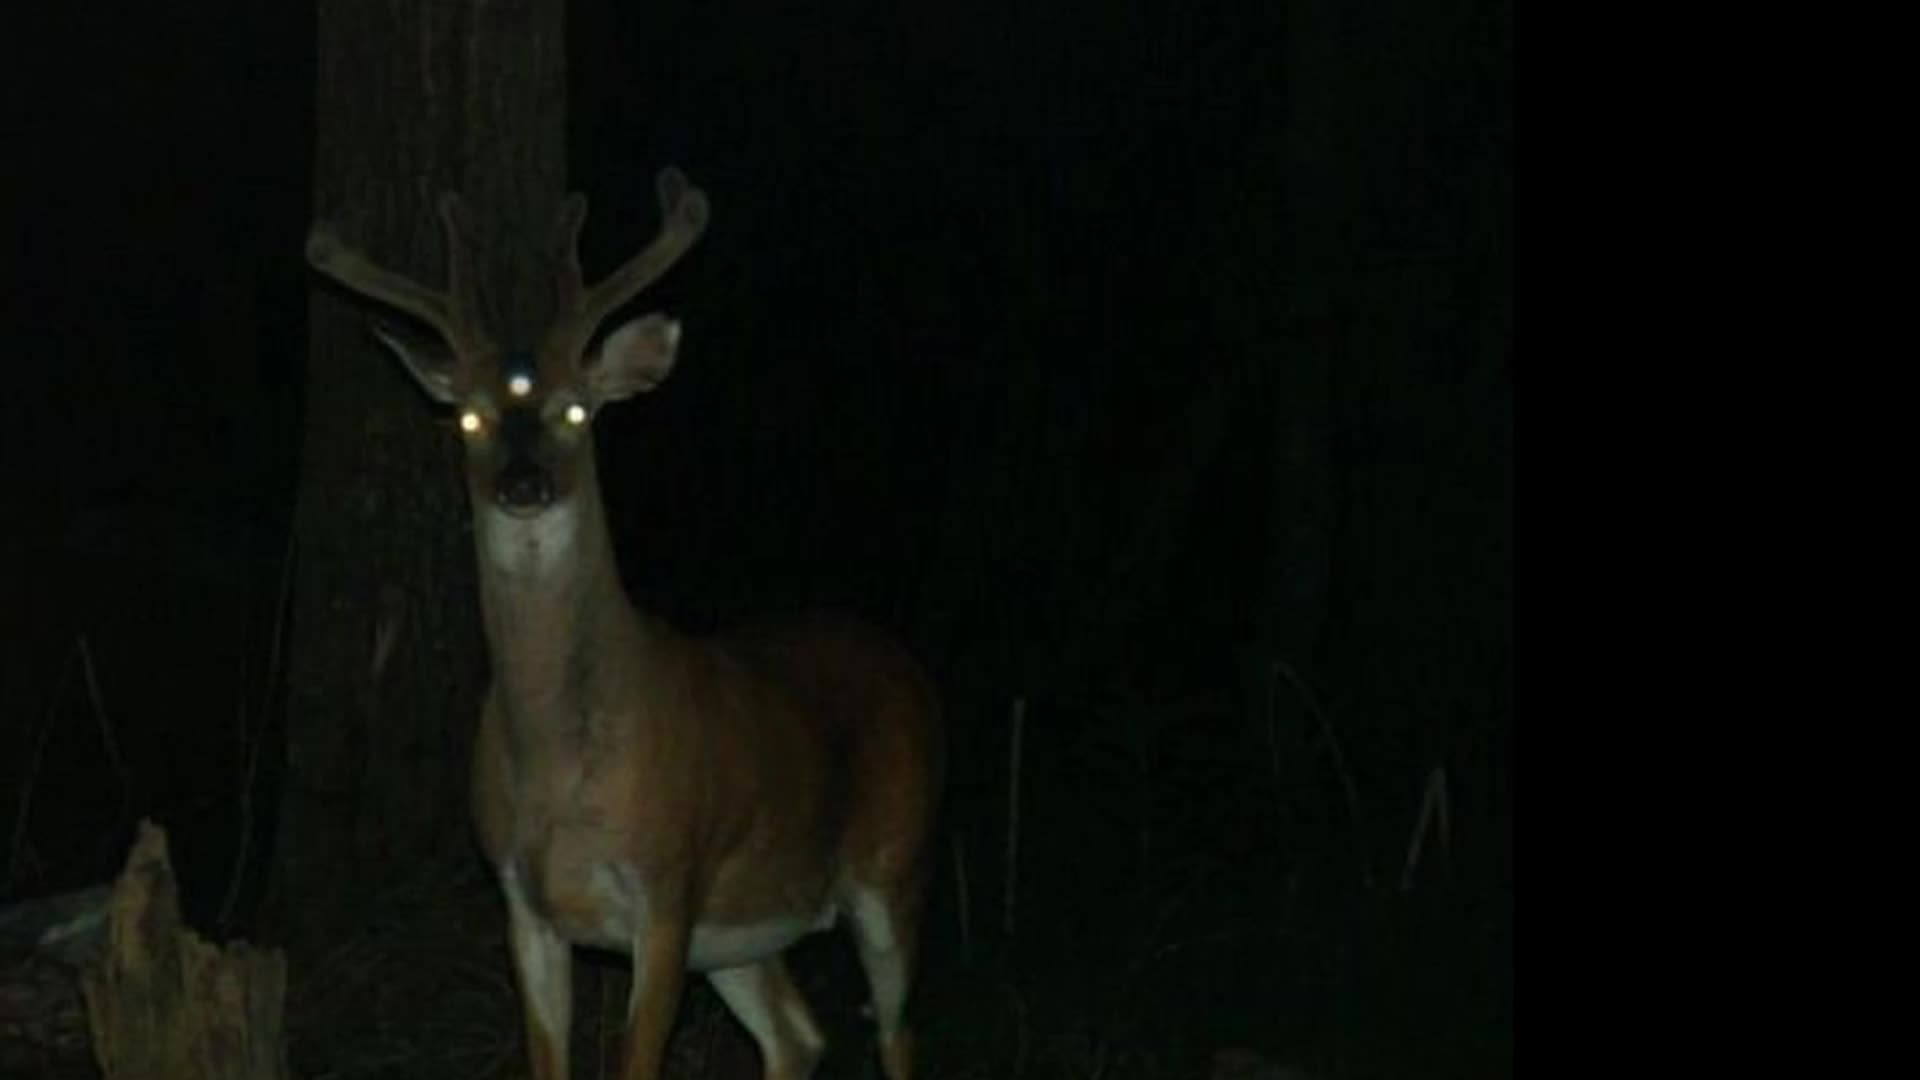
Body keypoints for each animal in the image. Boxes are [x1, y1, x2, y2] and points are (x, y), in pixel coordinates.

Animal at [304, 168, 944, 1080]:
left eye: (576, 411)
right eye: (469, 416)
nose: (525, 482)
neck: (564, 770)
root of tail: (908, 667)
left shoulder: (669, 883)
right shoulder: (522, 901)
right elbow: (546, 1057)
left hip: (896, 864)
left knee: (896, 1030)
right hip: (745, 930)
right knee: (800, 1034)